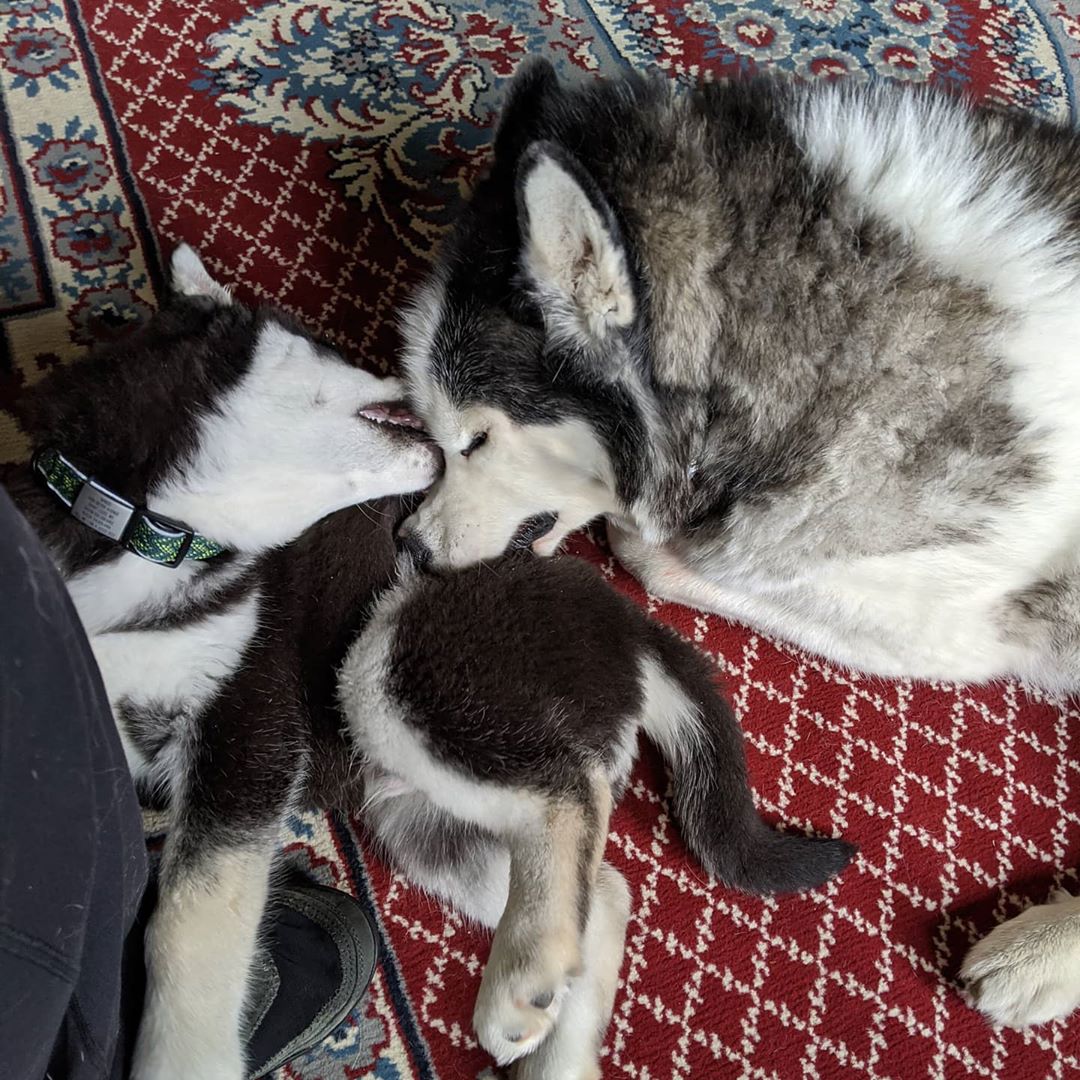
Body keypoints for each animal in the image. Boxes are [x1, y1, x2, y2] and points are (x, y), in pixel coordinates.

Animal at [8, 248, 851, 1080]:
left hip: (399, 667)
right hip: (423, 817)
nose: (407, 376)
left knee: (569, 796)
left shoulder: (248, 717)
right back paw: (546, 1025)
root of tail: (630, 623)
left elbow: (188, 928)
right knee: (602, 890)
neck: (137, 531)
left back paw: (518, 976)